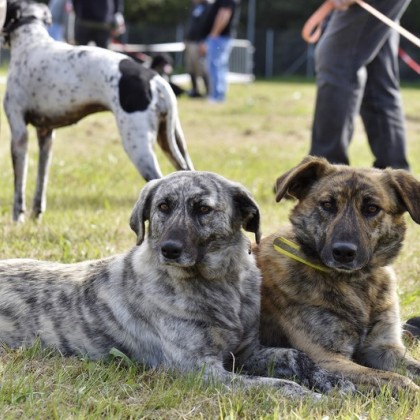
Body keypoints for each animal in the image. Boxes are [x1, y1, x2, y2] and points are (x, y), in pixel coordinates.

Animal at [2, 0, 195, 223]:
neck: (31, 41)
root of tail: (155, 78)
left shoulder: (19, 134)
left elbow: (19, 186)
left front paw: (18, 219)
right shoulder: (46, 136)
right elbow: (40, 184)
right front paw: (36, 216)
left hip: (138, 146)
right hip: (172, 142)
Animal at [254, 156, 420, 392]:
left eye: (372, 208)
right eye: (327, 205)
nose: (343, 252)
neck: (355, 284)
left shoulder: (384, 348)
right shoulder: (327, 358)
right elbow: (398, 380)